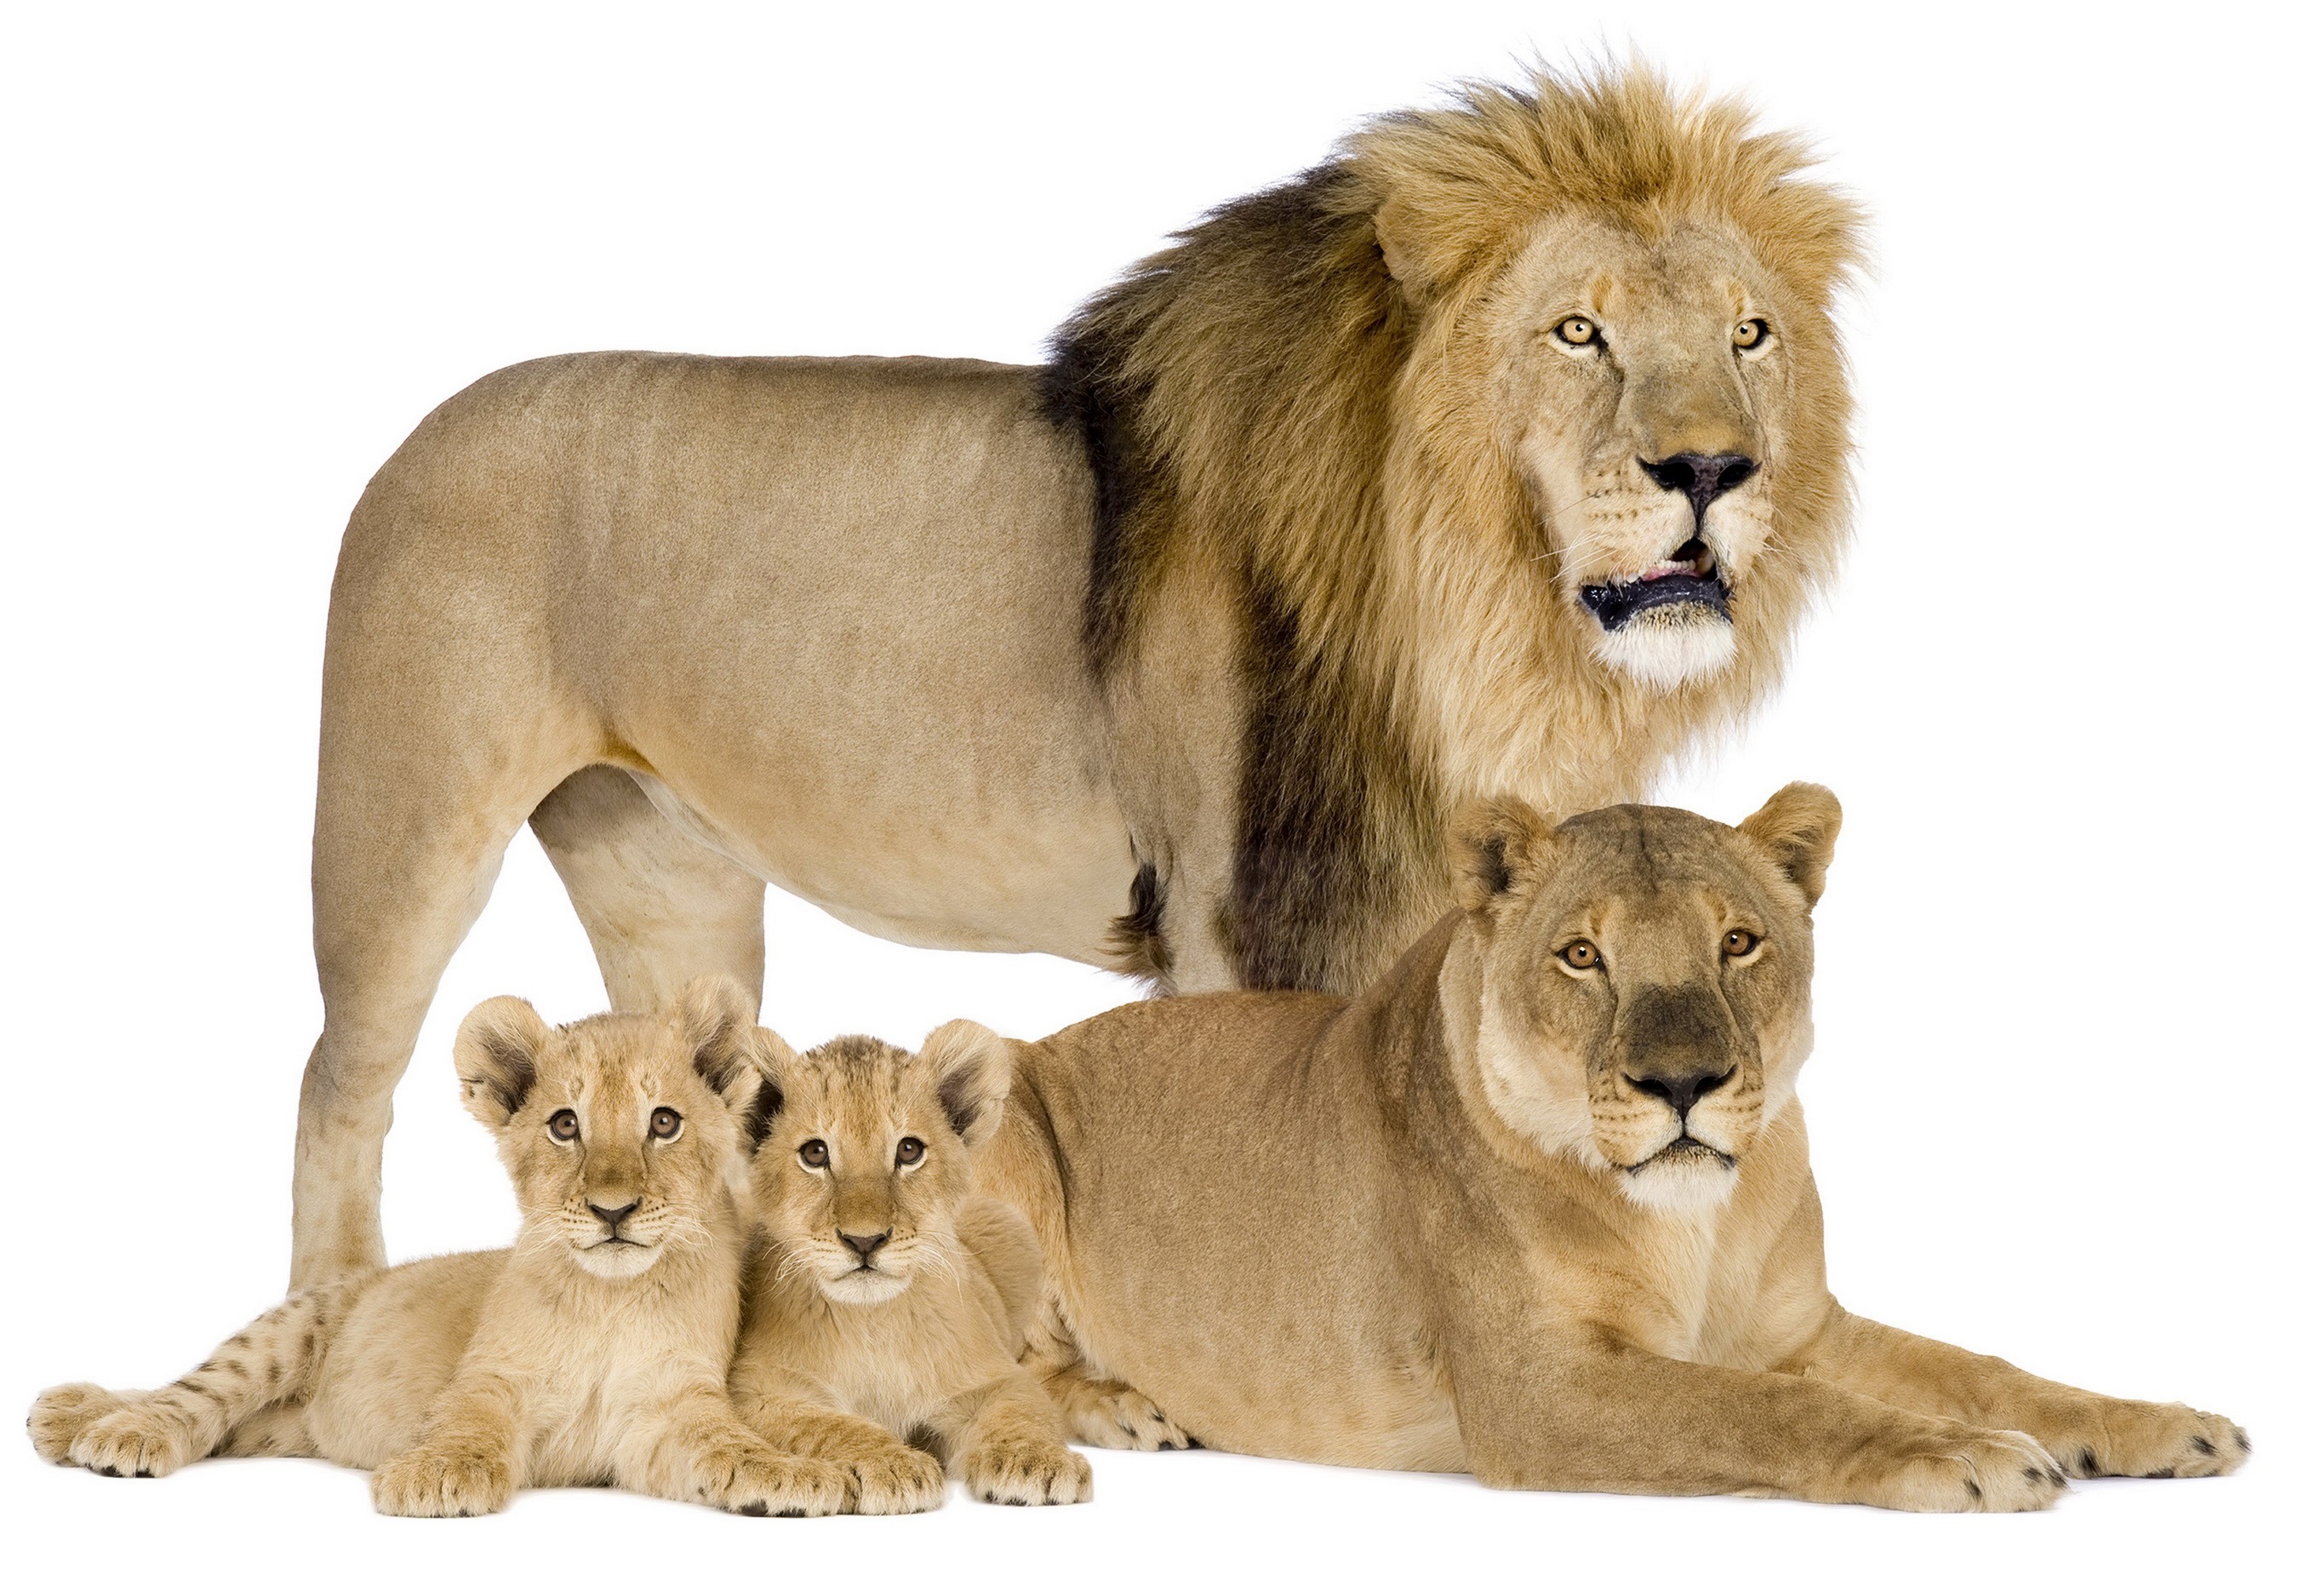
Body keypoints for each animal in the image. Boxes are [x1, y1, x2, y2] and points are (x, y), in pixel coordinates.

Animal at [29, 979, 851, 1519]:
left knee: (228, 1425)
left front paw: (794, 1475)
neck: (608, 1297)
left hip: (278, 1425)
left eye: (665, 1122)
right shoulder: (489, 1375)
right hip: (285, 1331)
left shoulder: (666, 1409)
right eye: (565, 1125)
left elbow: (728, 1445)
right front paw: (438, 1474)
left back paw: (77, 1416)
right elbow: (469, 1421)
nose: (612, 1209)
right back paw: (107, 1423)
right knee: (195, 1390)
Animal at [285, 66, 1864, 1286]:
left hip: (667, 879)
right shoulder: (1237, 908)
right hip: (404, 832)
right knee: (337, 1085)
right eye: (1577, 331)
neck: (1479, 612)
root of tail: (413, 431)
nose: (1714, 469)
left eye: (1749, 333)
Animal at [727, 1023, 1092, 1509]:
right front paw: (893, 1464)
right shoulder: (756, 1390)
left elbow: (1019, 1413)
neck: (874, 1320)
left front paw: (1037, 1460)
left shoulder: (997, 1376)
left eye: (909, 1150)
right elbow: (828, 1424)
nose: (865, 1240)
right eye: (815, 1153)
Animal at [976, 788, 2251, 1509]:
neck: (1697, 1220)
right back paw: (1127, 1408)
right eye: (1583, 956)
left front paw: (2156, 1424)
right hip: (1000, 1101)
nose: (1683, 1084)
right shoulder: (1538, 1391)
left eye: (1738, 941)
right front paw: (1970, 1456)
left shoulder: (1802, 1330)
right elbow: (1763, 1412)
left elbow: (1987, 1365)